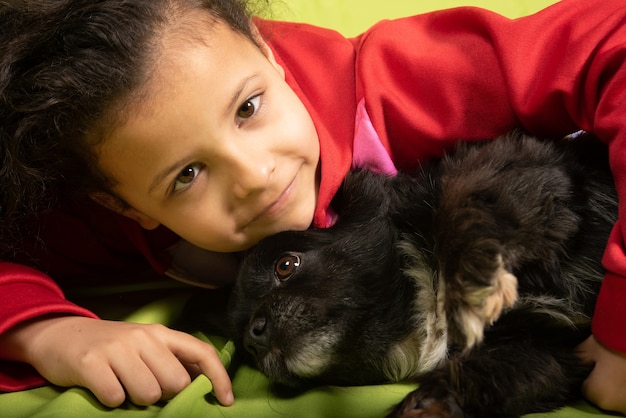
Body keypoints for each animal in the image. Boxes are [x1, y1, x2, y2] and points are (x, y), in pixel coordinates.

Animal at [228, 131, 616, 418]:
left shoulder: (526, 168)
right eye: (242, 327)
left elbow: (463, 200)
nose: (252, 337)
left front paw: (473, 280)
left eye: (285, 265)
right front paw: (426, 405)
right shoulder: (546, 348)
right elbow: (487, 377)